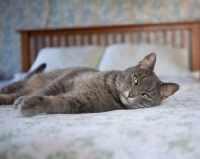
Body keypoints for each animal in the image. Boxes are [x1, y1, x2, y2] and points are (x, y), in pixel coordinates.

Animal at [0, 52, 178, 116]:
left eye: (145, 95)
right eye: (135, 79)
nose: (131, 94)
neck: (110, 90)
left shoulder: (79, 102)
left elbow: (55, 102)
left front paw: (30, 104)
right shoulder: (67, 79)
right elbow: (46, 91)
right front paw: (25, 100)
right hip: (21, 84)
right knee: (12, 90)